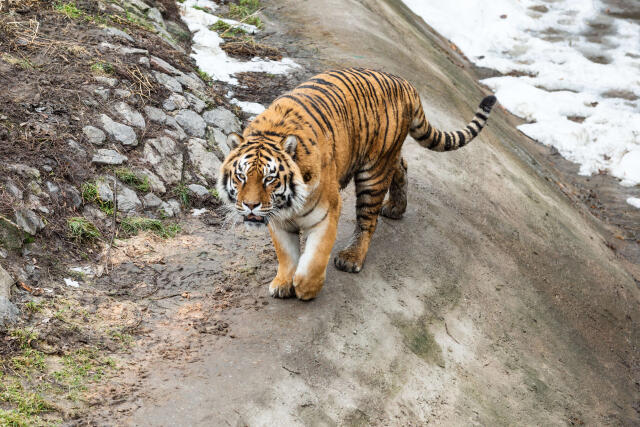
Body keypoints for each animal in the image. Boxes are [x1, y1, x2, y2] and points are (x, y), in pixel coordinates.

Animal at [218, 67, 498, 300]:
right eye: (241, 176)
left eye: (269, 178)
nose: (251, 205)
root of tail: (406, 84)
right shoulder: (278, 220)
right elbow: (286, 254)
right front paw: (283, 283)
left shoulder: (327, 211)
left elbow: (316, 256)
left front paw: (306, 288)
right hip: (386, 159)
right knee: (402, 166)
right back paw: (396, 208)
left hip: (372, 173)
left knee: (368, 220)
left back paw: (351, 258)